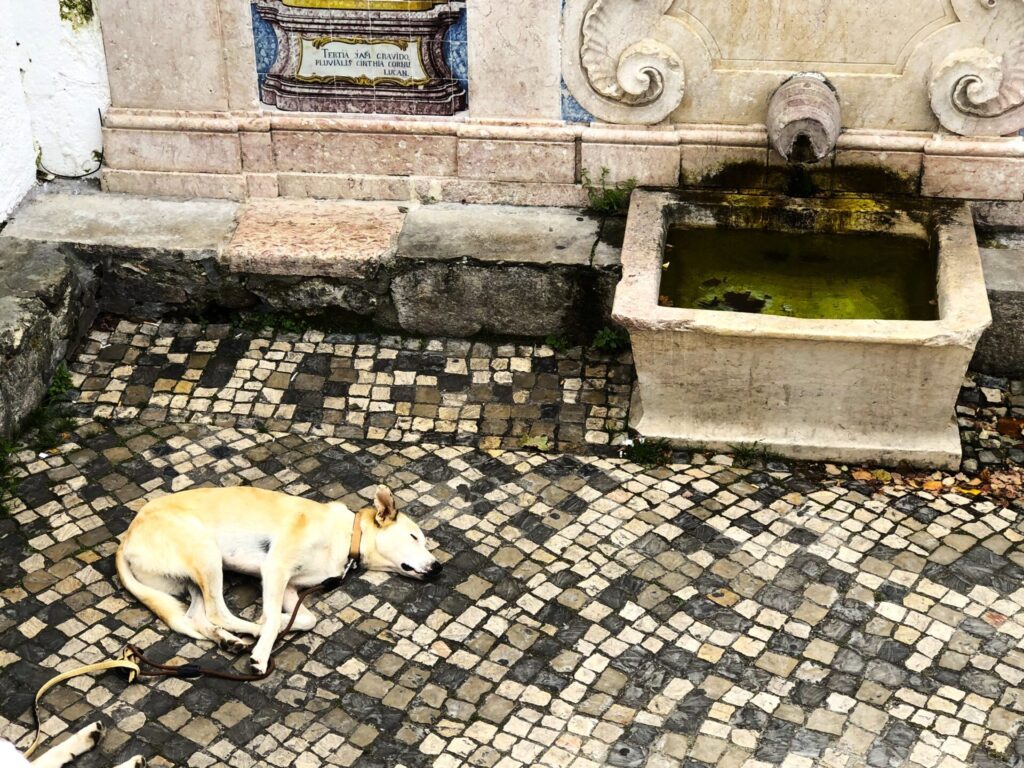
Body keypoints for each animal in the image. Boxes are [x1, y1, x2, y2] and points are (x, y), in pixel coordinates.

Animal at [117, 487, 440, 671]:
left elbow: (306, 619)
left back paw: (228, 639)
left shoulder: (291, 587)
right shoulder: (275, 568)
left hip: (193, 580)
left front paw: (286, 623)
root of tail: (126, 539)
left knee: (197, 617)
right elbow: (272, 619)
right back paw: (252, 634)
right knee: (216, 611)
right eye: (414, 537)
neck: (349, 535)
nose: (438, 568)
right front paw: (263, 650)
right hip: (206, 554)